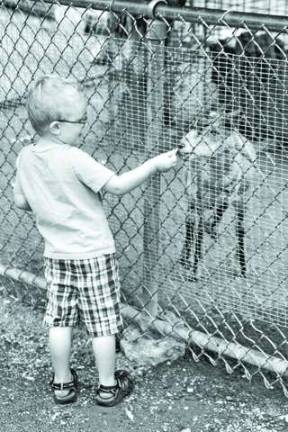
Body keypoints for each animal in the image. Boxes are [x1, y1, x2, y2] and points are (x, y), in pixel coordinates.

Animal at [178, 111, 256, 278]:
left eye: (214, 132)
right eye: (196, 129)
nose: (181, 145)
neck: (217, 179)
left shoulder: (236, 195)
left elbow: (236, 226)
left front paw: (242, 269)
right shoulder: (200, 198)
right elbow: (199, 233)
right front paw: (195, 272)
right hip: (191, 196)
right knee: (190, 223)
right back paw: (184, 259)